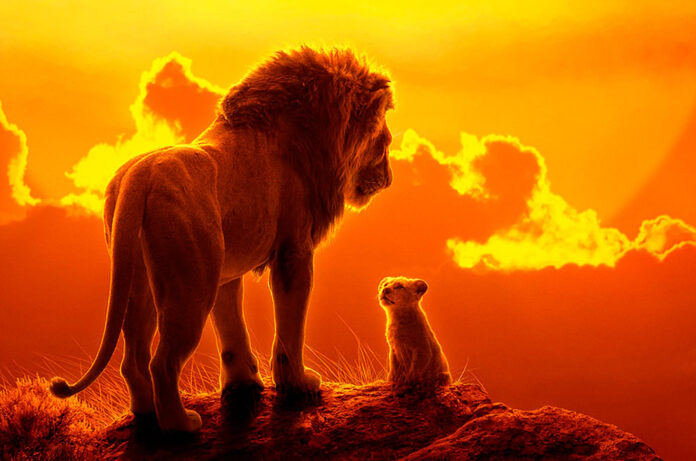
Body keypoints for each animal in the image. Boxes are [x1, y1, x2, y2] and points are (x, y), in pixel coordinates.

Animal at [50, 47, 394, 433]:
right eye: (384, 144)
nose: (389, 179)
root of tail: (139, 176)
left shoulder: (225, 270)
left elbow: (231, 329)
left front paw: (243, 385)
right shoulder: (294, 252)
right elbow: (290, 327)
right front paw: (298, 385)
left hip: (141, 281)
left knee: (134, 358)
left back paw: (146, 415)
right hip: (190, 286)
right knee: (162, 362)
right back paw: (181, 425)